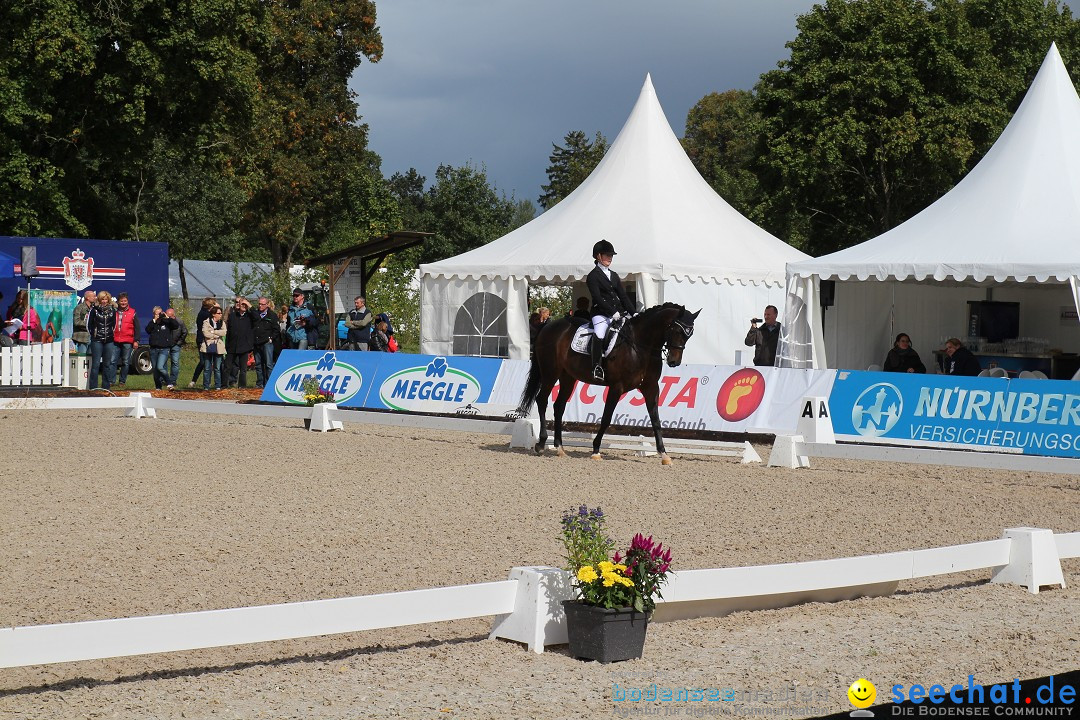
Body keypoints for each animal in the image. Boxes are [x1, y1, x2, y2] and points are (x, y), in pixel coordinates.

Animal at [516, 302, 699, 462]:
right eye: (676, 330)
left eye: (689, 335)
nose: (674, 362)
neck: (641, 346)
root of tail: (548, 326)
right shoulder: (617, 387)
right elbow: (606, 418)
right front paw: (596, 449)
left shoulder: (651, 387)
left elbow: (656, 420)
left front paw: (664, 454)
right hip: (550, 372)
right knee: (542, 400)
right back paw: (541, 444)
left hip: (568, 376)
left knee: (559, 406)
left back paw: (560, 448)